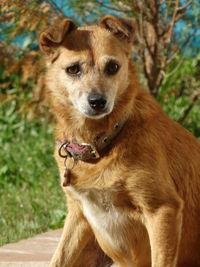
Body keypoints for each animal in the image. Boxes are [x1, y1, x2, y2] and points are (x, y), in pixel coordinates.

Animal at [38, 15, 200, 267]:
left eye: (113, 67)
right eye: (73, 69)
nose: (97, 101)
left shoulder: (163, 209)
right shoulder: (78, 215)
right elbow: (59, 259)